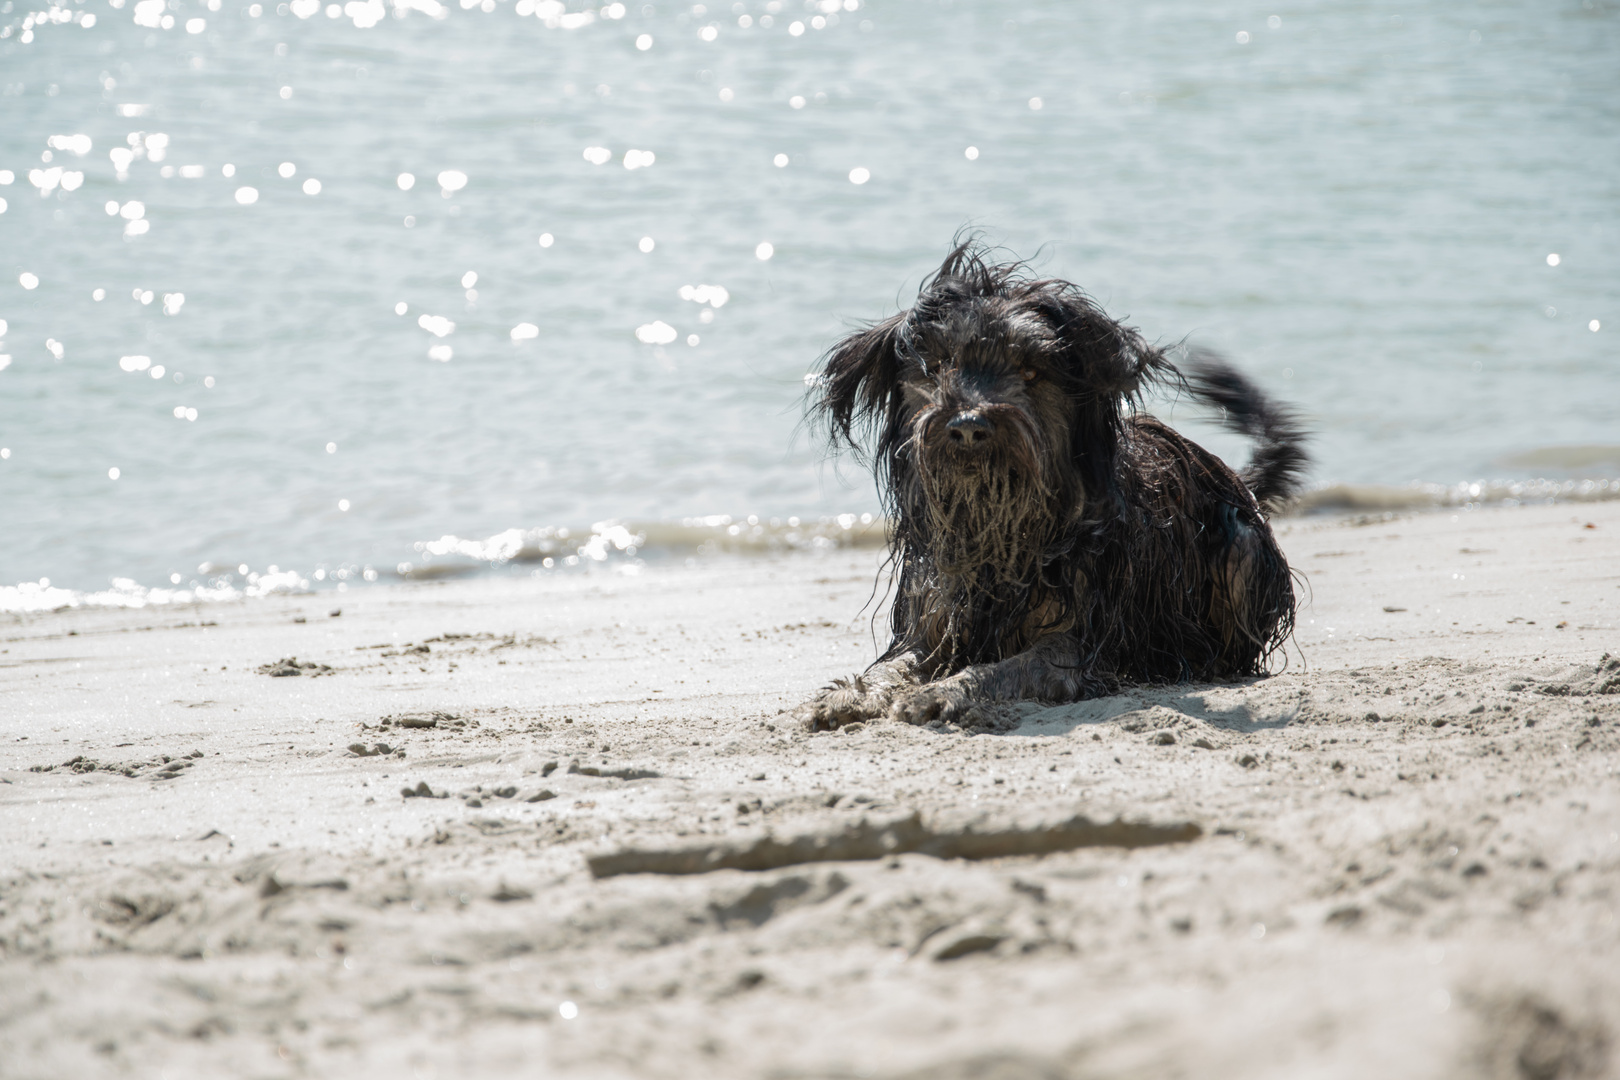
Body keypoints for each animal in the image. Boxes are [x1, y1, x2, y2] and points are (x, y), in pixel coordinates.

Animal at [803, 244, 1308, 735]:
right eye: (939, 366)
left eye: (1030, 372)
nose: (967, 425)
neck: (998, 525)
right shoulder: (931, 622)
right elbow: (893, 665)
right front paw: (848, 694)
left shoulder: (1077, 644)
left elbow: (1002, 668)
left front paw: (939, 693)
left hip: (1241, 549)